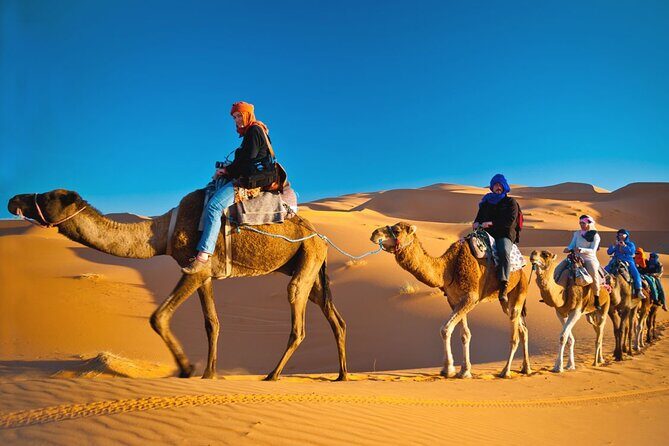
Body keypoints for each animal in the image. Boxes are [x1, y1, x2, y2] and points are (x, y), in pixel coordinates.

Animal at [7, 189, 348, 381]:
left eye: (48, 196)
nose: (13, 200)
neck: (160, 234)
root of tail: (320, 236)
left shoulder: (194, 268)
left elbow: (158, 316)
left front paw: (186, 369)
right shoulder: (206, 273)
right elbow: (212, 322)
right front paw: (209, 374)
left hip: (306, 260)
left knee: (299, 321)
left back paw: (273, 375)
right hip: (311, 267)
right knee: (335, 317)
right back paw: (342, 376)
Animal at [370, 222, 531, 378]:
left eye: (397, 230)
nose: (374, 234)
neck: (448, 268)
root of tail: (522, 270)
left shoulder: (470, 298)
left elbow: (445, 329)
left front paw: (448, 369)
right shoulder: (455, 300)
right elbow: (465, 334)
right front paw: (464, 371)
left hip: (519, 290)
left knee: (515, 334)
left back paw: (506, 371)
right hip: (505, 301)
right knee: (522, 329)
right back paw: (526, 368)